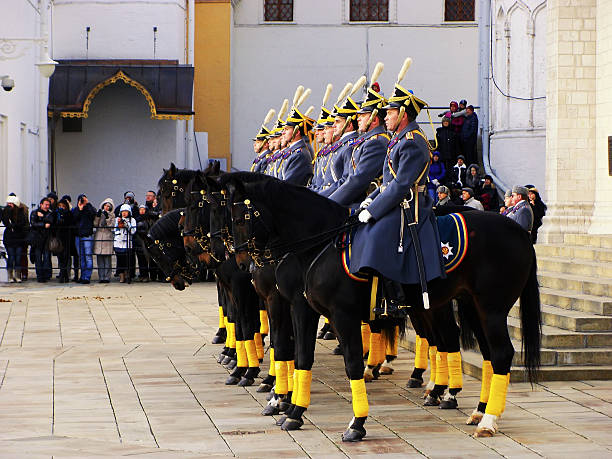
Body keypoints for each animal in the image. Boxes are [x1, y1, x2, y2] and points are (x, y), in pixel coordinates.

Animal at [219, 172, 540, 442]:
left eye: (240, 218)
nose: (242, 263)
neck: (322, 245)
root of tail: (519, 231)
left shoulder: (335, 314)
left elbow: (349, 363)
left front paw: (356, 422)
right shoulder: (301, 308)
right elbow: (299, 356)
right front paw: (293, 411)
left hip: (490, 308)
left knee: (499, 353)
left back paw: (486, 418)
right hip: (471, 305)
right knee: (485, 353)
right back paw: (476, 409)